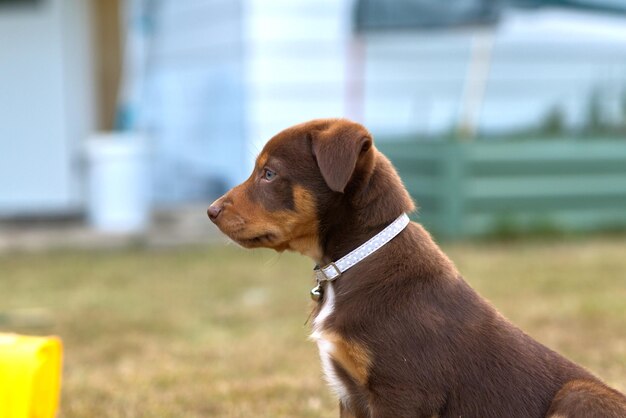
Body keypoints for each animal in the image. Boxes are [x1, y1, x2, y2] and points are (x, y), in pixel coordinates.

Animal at [207, 118, 620, 418]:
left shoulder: (402, 391)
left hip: (578, 394)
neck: (351, 262)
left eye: (269, 174)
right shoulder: (350, 395)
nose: (210, 211)